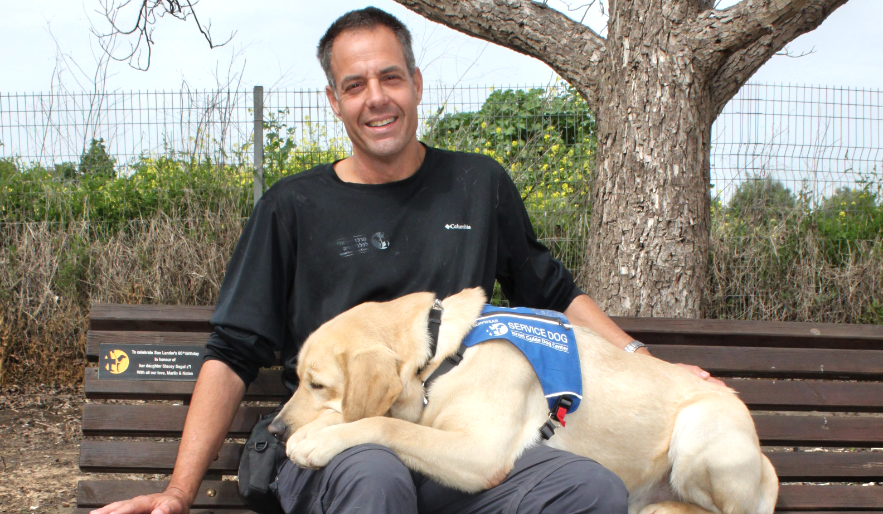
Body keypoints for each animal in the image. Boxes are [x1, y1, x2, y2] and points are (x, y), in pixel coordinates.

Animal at [272, 288, 776, 512]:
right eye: (296, 378)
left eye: (318, 384)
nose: (274, 430)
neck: (444, 351)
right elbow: (375, 417)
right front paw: (314, 432)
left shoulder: (481, 452)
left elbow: (384, 423)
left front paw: (321, 439)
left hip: (697, 434)